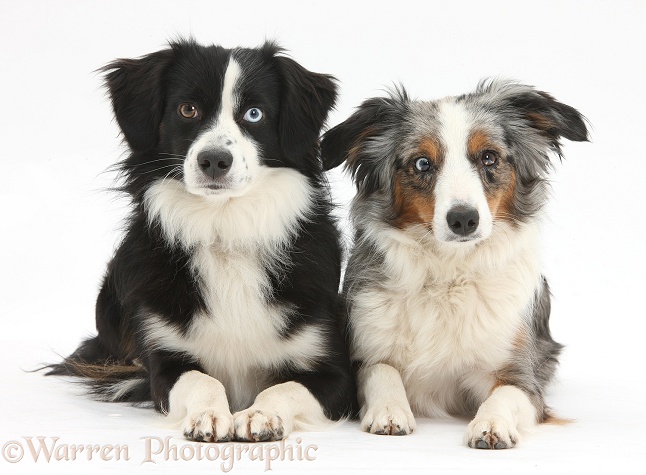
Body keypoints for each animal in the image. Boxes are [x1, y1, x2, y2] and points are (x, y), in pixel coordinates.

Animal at [48, 39, 356, 444]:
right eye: (188, 109)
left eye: (254, 113)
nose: (214, 160)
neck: (224, 227)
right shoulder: (165, 360)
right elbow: (199, 379)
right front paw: (209, 415)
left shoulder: (333, 372)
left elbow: (285, 387)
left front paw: (261, 414)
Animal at [322, 81, 588, 450]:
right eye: (422, 163)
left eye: (488, 157)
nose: (463, 219)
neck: (450, 272)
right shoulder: (363, 354)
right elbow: (381, 372)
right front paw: (389, 410)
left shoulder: (521, 375)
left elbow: (505, 394)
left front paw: (491, 423)